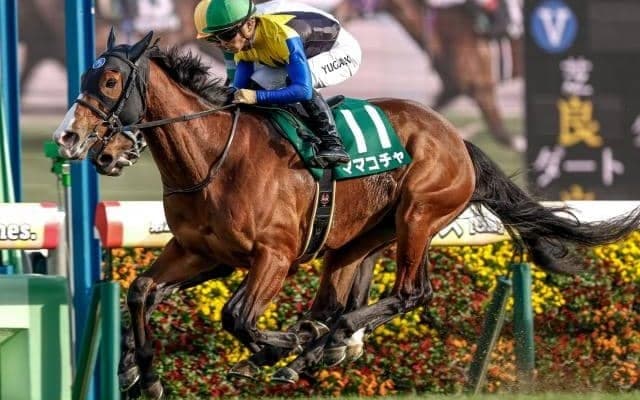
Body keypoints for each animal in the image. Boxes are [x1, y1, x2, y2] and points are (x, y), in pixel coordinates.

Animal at [53, 31, 640, 397]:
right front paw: (141, 372)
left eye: (109, 83)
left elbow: (236, 317)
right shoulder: (201, 251)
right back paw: (313, 349)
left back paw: (317, 343)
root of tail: (456, 137)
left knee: (410, 293)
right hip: (359, 239)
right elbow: (140, 291)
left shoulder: (274, 256)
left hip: (418, 216)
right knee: (343, 299)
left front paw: (283, 343)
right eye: (82, 79)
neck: (213, 156)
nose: (71, 139)